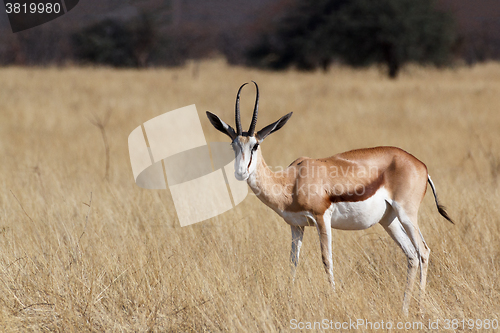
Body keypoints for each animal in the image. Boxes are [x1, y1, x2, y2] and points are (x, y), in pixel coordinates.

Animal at [206, 81, 454, 314]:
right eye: (233, 144)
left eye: (255, 145)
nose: (241, 172)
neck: (291, 181)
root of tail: (421, 165)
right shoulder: (296, 226)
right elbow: (293, 261)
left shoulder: (321, 217)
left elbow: (327, 259)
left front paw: (333, 298)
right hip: (389, 220)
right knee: (411, 255)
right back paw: (404, 309)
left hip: (406, 215)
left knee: (423, 251)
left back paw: (419, 308)